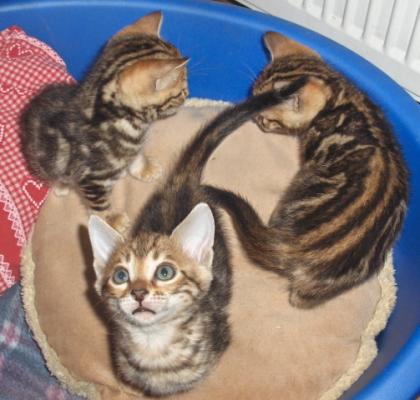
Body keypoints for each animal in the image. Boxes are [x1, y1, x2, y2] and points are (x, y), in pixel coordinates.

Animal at [20, 11, 189, 212]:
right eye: (178, 93)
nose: (187, 95)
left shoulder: (132, 147)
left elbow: (136, 157)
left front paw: (145, 169)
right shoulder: (91, 179)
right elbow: (100, 207)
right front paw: (115, 219)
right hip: (45, 161)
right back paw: (61, 186)